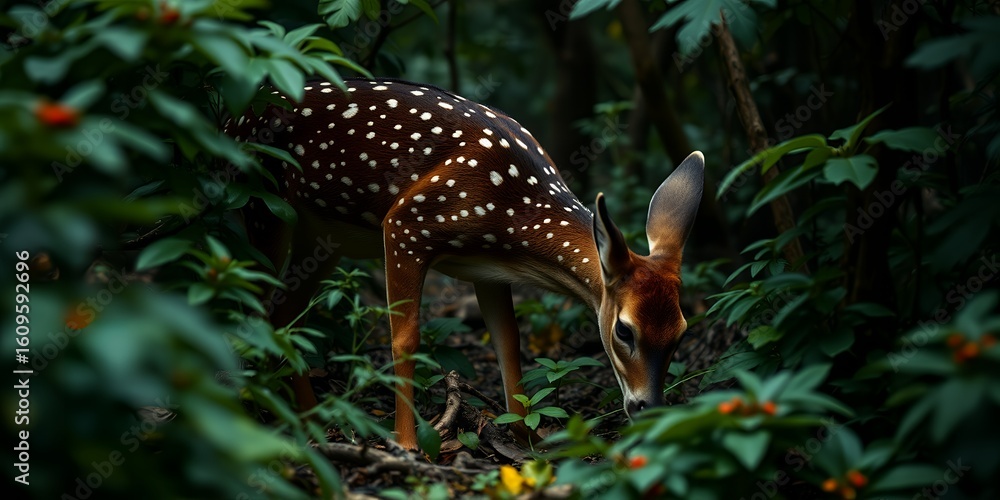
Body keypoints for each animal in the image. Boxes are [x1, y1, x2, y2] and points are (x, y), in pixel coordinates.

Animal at [229, 78, 704, 451]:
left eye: (682, 332)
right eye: (624, 331)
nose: (647, 407)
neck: (513, 216)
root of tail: (231, 117)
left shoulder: (487, 270)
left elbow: (509, 342)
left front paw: (528, 440)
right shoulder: (405, 225)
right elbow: (406, 338)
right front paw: (407, 445)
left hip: (324, 237)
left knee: (282, 311)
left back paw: (309, 421)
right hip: (261, 203)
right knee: (255, 307)